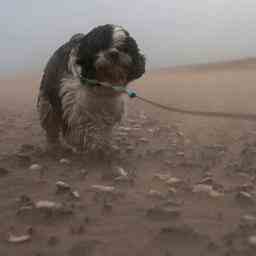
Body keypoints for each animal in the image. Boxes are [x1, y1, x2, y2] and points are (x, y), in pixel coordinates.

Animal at [36, 24, 145, 153]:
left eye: (123, 48)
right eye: (101, 44)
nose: (114, 53)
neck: (101, 83)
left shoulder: (110, 107)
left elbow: (104, 128)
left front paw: (104, 144)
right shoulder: (74, 104)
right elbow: (85, 127)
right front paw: (91, 142)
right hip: (47, 101)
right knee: (51, 123)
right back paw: (54, 144)